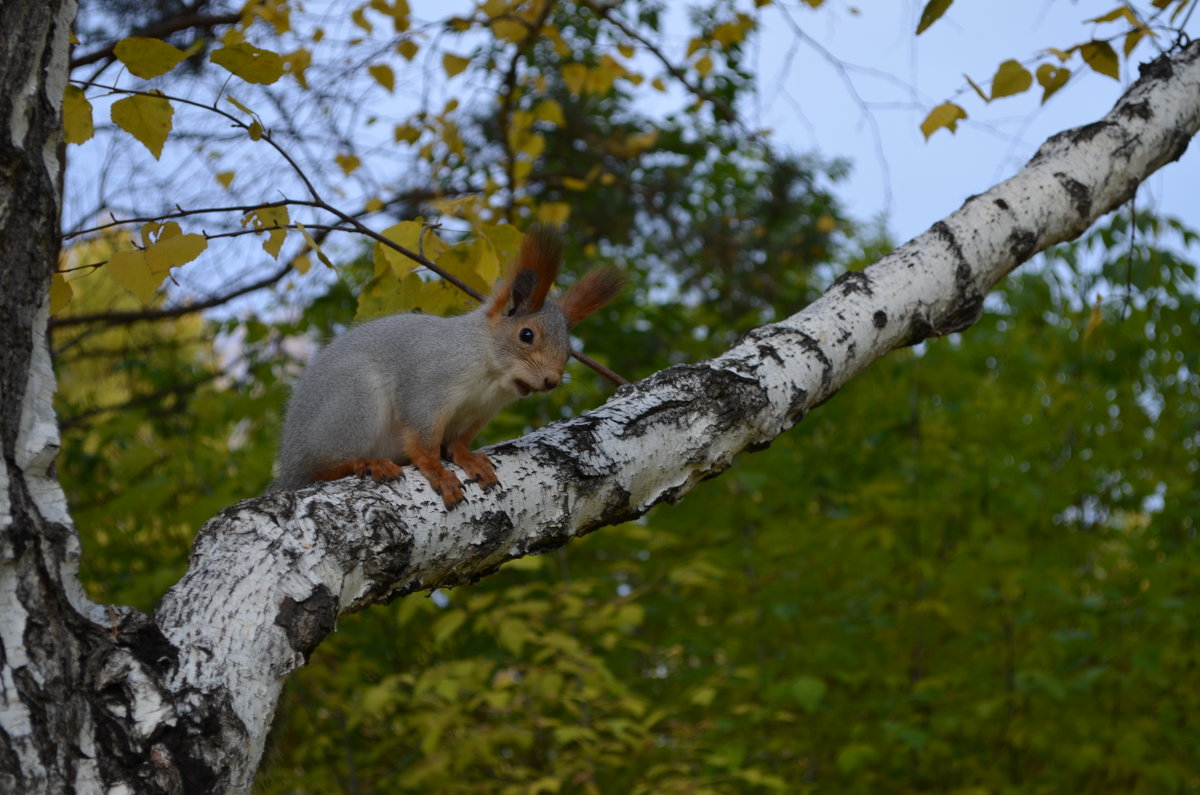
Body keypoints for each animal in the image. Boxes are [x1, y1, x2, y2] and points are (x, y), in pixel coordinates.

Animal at [273, 226, 624, 506]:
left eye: (569, 351)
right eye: (527, 335)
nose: (552, 380)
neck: (490, 376)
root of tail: (289, 464)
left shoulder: (476, 414)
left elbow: (457, 441)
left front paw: (468, 458)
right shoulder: (428, 387)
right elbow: (423, 440)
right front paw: (437, 472)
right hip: (353, 403)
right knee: (321, 467)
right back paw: (367, 464)